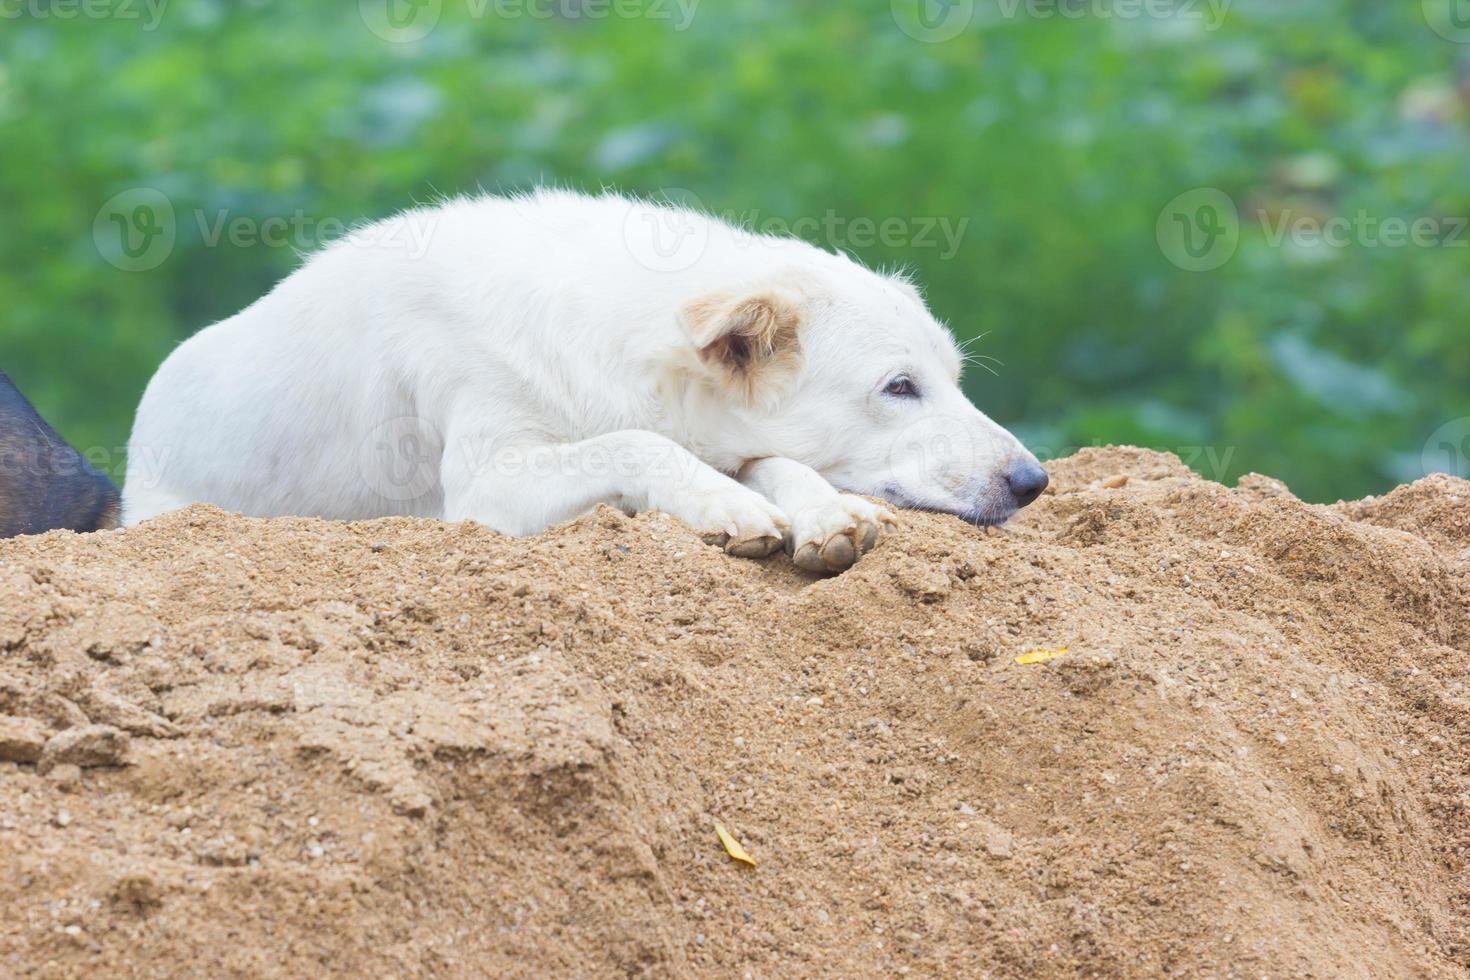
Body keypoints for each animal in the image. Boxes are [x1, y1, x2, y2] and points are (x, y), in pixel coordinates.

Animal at [123, 189, 1046, 575]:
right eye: (900, 388)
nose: (1033, 480)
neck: (610, 334)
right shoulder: (486, 489)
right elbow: (641, 445)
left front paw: (824, 514)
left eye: (951, 380)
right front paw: (729, 508)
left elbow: (779, 463)